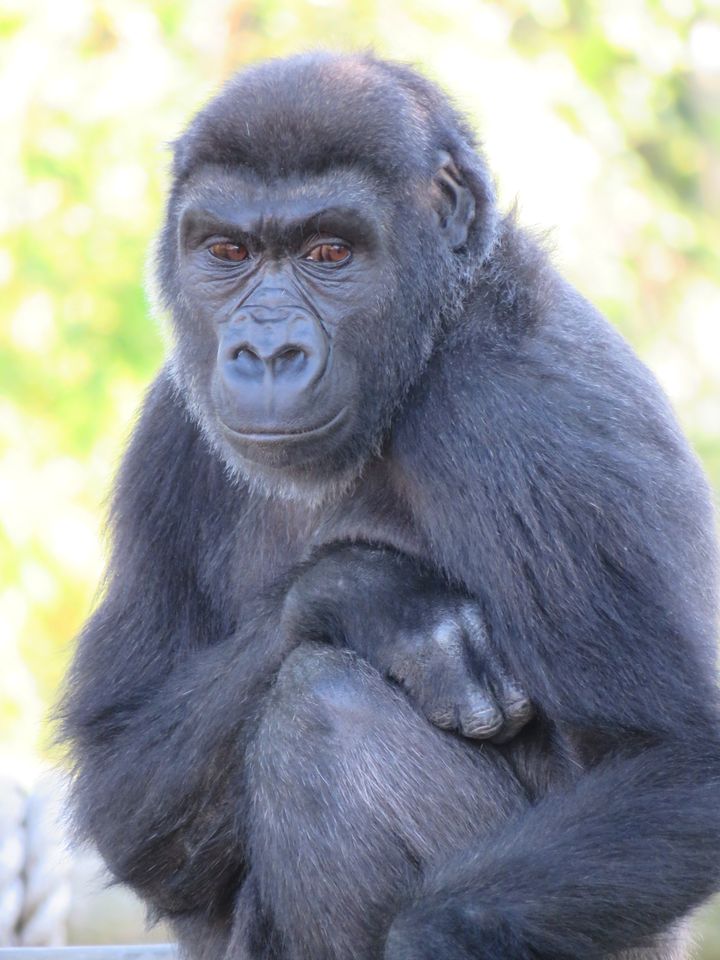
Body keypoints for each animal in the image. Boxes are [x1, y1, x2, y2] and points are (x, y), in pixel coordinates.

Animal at [60, 50, 720, 960]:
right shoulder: (171, 431)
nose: (266, 349)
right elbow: (119, 785)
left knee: (325, 717)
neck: (432, 330)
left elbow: (682, 762)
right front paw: (367, 596)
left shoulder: (513, 408)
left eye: (330, 251)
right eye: (228, 250)